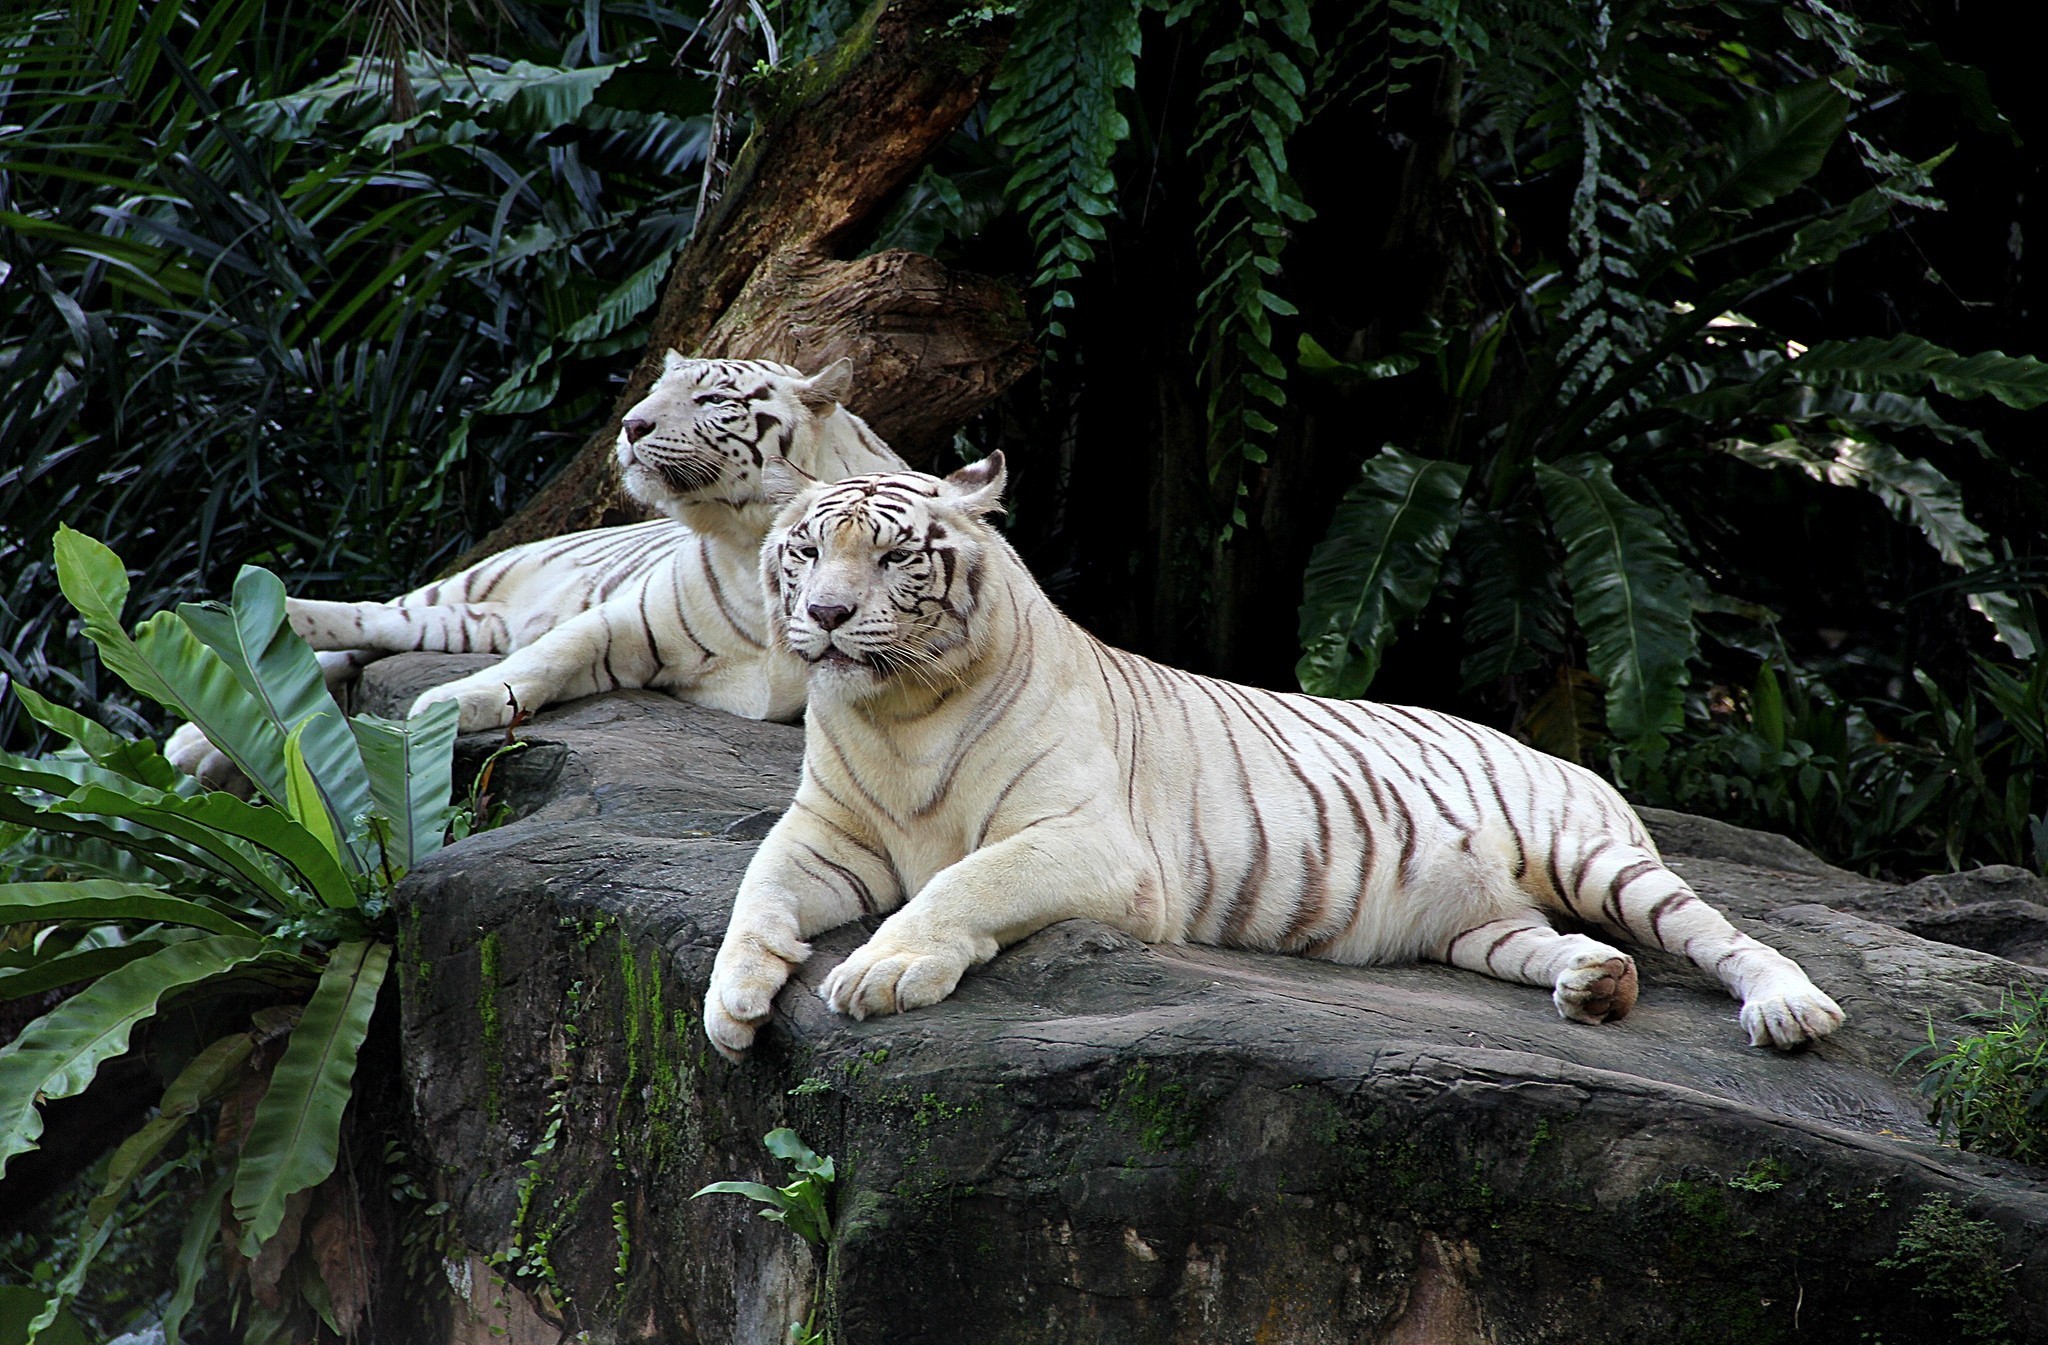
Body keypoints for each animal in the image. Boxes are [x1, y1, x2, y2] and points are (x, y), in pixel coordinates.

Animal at [169, 352, 913, 786]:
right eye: (655, 391)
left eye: (711, 401)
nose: (631, 426)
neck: (743, 535)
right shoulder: (630, 619)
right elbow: (552, 655)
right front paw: (446, 707)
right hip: (462, 585)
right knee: (363, 617)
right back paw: (224, 630)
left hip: (464, 622)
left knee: (370, 634)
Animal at [704, 450, 1859, 1056]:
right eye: (805, 548)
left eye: (895, 555)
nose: (825, 614)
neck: (897, 715)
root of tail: (1558, 750)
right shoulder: (827, 830)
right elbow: (755, 887)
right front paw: (733, 1003)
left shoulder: (1090, 843)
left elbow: (962, 882)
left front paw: (882, 967)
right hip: (1478, 926)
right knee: (1546, 944)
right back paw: (1594, 985)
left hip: (1598, 858)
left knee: (1719, 933)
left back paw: (1788, 1008)